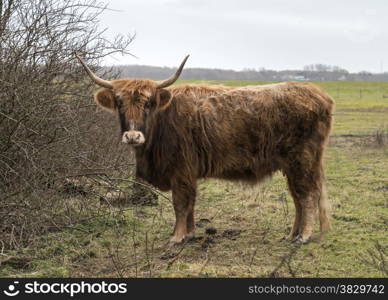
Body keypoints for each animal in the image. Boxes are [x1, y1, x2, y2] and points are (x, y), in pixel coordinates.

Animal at [75, 55, 334, 245]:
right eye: (119, 103)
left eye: (148, 103)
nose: (132, 136)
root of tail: (318, 94)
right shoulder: (187, 173)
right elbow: (190, 204)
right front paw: (189, 234)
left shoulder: (180, 170)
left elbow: (181, 203)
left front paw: (177, 237)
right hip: (293, 165)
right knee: (298, 197)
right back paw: (292, 234)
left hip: (303, 160)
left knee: (307, 196)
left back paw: (303, 236)